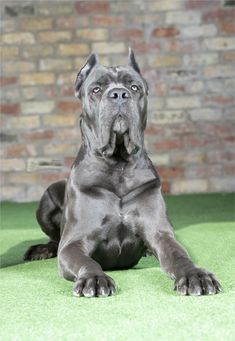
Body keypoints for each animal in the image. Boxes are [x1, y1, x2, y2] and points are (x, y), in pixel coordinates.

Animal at [23, 49, 220, 296]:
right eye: (96, 89)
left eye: (134, 87)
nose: (118, 94)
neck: (118, 166)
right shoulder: (73, 244)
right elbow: (86, 260)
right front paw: (94, 279)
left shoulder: (160, 234)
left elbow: (179, 255)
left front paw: (196, 275)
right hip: (48, 196)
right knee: (54, 240)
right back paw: (41, 250)